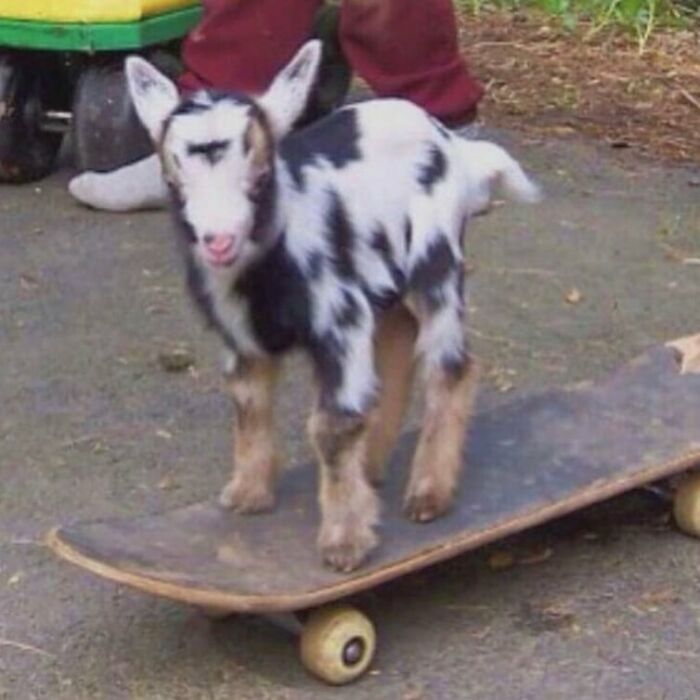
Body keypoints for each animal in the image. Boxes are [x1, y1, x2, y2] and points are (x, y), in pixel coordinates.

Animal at [125, 41, 540, 572]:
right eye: (173, 178)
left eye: (261, 174)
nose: (218, 241)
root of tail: (454, 144)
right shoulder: (242, 339)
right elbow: (248, 403)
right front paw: (249, 493)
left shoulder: (339, 321)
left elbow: (333, 427)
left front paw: (344, 542)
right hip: (384, 283)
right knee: (398, 344)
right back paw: (375, 466)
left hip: (437, 265)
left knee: (452, 366)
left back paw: (429, 492)